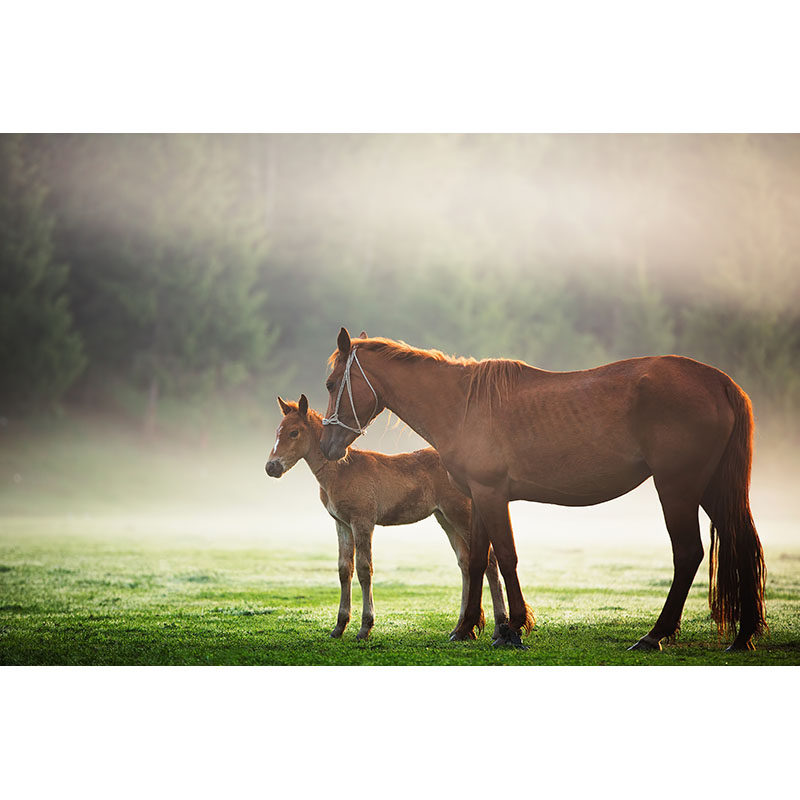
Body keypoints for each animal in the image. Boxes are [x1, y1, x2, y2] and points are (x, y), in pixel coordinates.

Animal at [268, 396, 506, 640]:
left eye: (294, 433)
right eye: (278, 431)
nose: (271, 467)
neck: (342, 471)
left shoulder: (362, 522)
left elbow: (365, 569)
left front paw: (365, 627)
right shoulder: (342, 524)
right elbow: (345, 569)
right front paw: (339, 626)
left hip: (460, 514)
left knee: (489, 561)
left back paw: (499, 627)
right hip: (445, 519)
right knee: (465, 563)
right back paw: (460, 628)